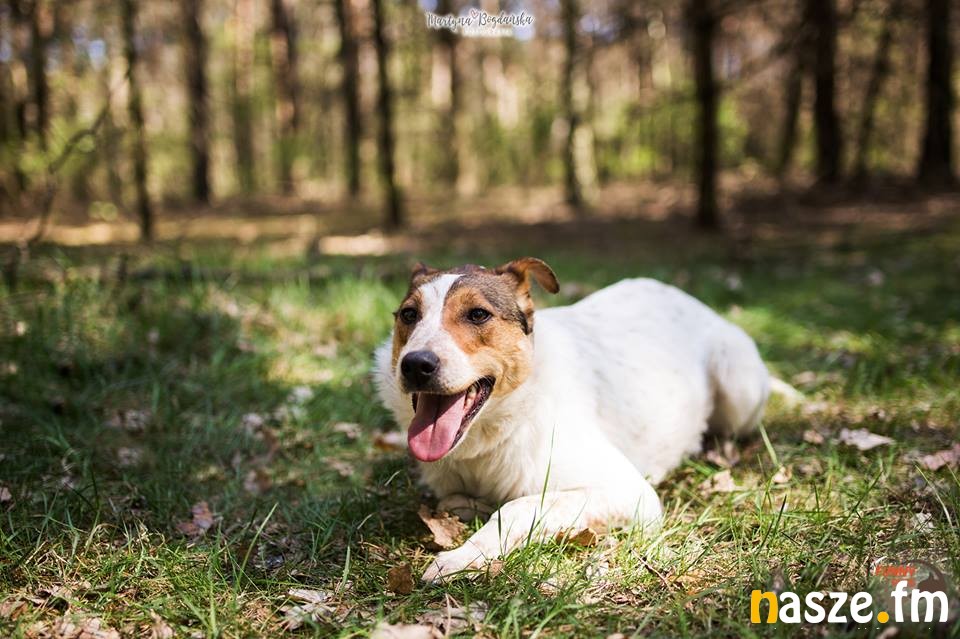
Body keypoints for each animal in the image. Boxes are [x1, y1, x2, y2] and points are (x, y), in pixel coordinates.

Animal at [374, 257, 773, 582]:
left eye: (478, 314)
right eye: (408, 315)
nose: (416, 365)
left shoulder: (631, 493)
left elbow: (519, 506)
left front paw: (461, 557)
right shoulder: (448, 486)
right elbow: (452, 501)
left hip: (739, 389)